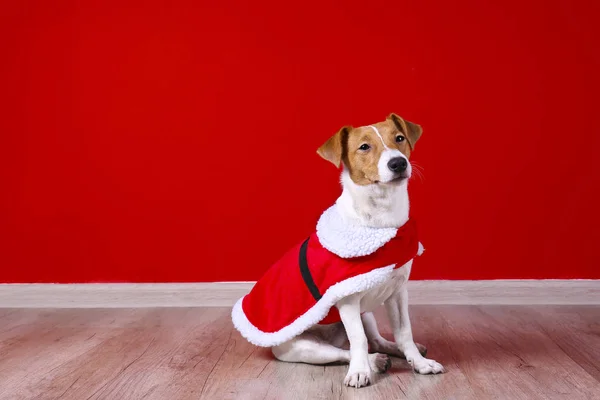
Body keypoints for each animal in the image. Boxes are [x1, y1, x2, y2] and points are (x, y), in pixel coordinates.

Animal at [232, 113, 442, 388]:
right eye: (364, 147)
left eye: (399, 138)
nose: (398, 163)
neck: (380, 220)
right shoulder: (348, 300)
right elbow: (358, 341)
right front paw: (361, 372)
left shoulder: (397, 292)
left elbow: (404, 332)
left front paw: (419, 362)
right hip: (304, 347)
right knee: (347, 350)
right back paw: (373, 362)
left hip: (367, 314)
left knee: (377, 340)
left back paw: (391, 352)